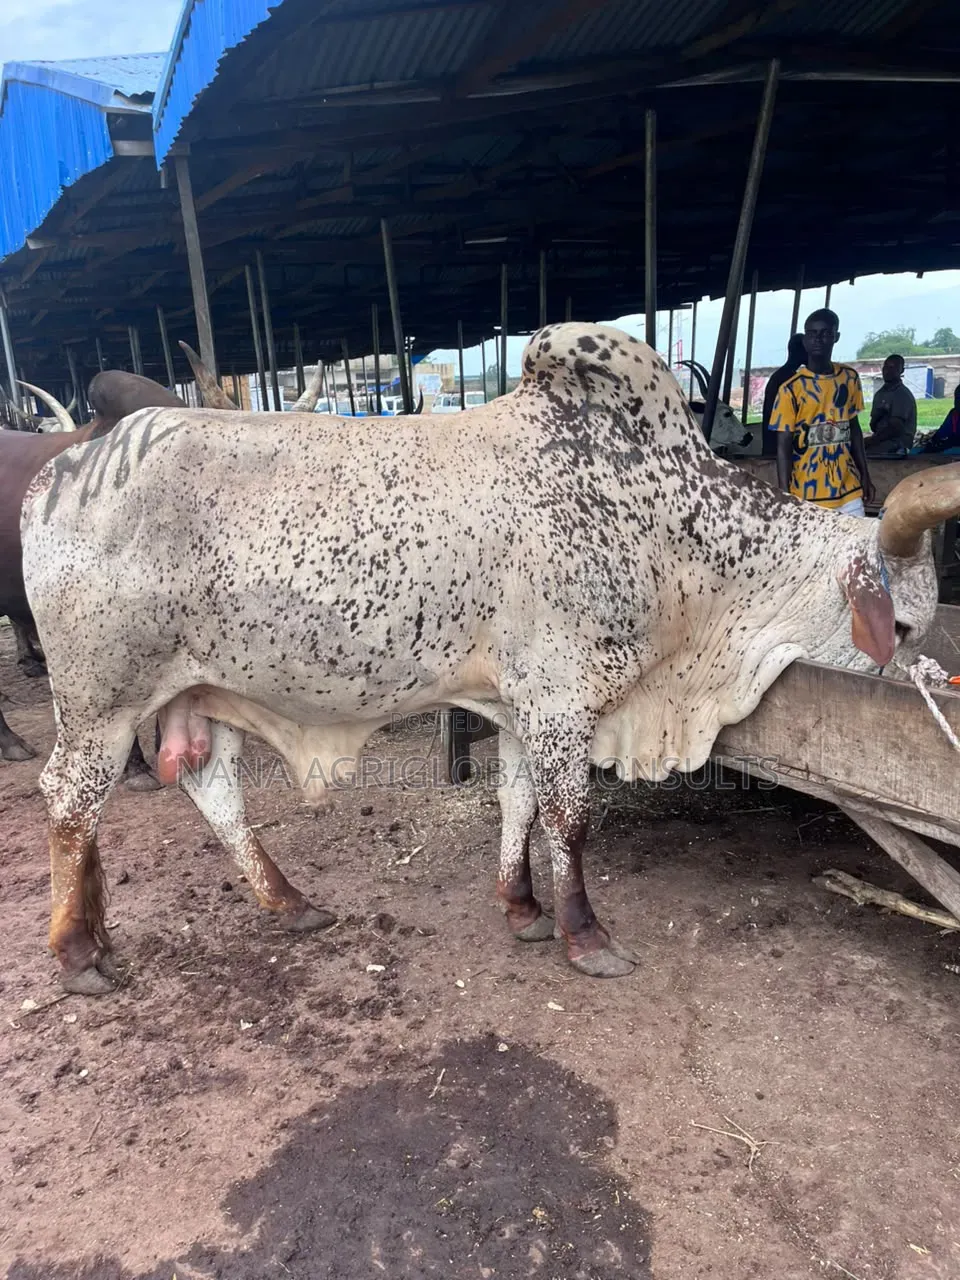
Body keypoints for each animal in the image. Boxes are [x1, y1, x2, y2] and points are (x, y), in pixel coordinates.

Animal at [21, 322, 958, 996]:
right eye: (908, 627)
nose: (932, 668)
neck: (668, 533)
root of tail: (60, 471)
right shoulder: (563, 700)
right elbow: (570, 821)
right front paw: (587, 935)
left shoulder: (519, 706)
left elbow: (518, 805)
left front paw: (523, 908)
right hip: (102, 701)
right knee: (69, 799)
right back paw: (78, 954)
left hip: (189, 694)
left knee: (206, 793)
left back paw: (278, 905)